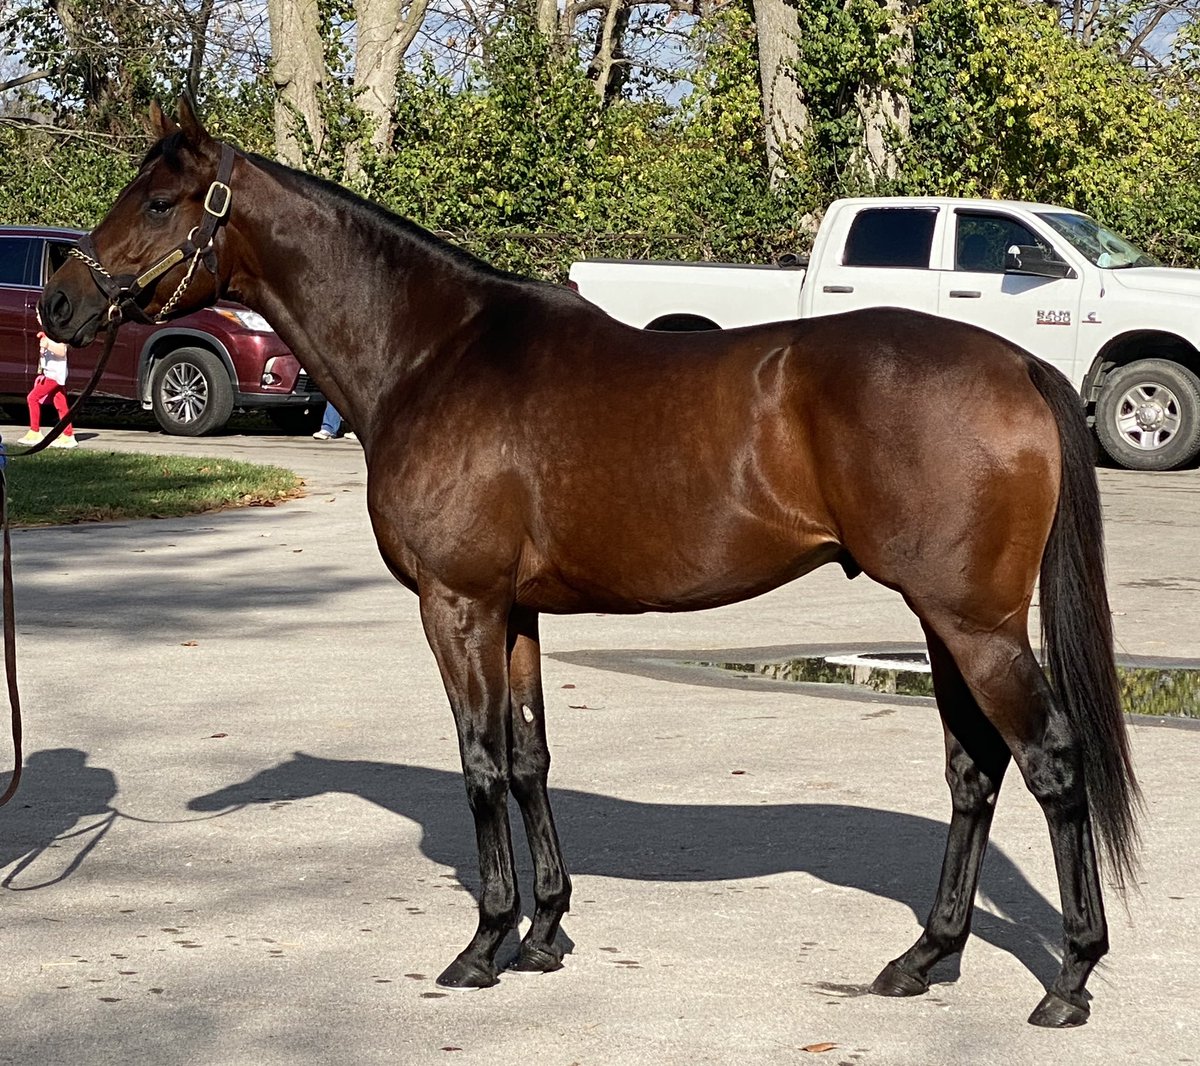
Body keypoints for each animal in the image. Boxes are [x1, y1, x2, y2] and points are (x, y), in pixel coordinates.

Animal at [39, 99, 1139, 1028]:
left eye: (162, 200)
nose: (59, 302)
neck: (433, 353)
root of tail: (1017, 363)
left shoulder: (458, 604)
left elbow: (481, 760)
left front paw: (483, 943)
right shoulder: (515, 611)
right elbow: (530, 758)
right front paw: (545, 933)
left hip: (974, 623)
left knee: (1049, 761)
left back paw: (1070, 979)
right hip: (942, 619)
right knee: (973, 770)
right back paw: (925, 958)